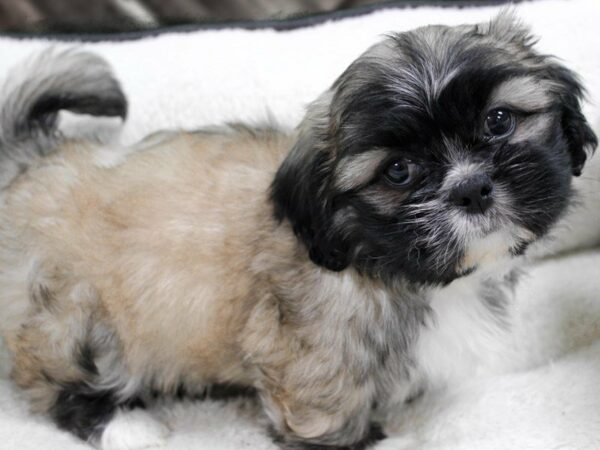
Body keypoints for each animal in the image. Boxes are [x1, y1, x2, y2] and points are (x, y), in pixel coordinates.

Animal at [0, 14, 592, 450]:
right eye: (398, 172)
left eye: (499, 121)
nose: (471, 189)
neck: (379, 259)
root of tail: (35, 161)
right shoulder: (309, 359)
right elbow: (328, 415)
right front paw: (372, 440)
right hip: (73, 314)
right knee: (52, 380)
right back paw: (126, 424)